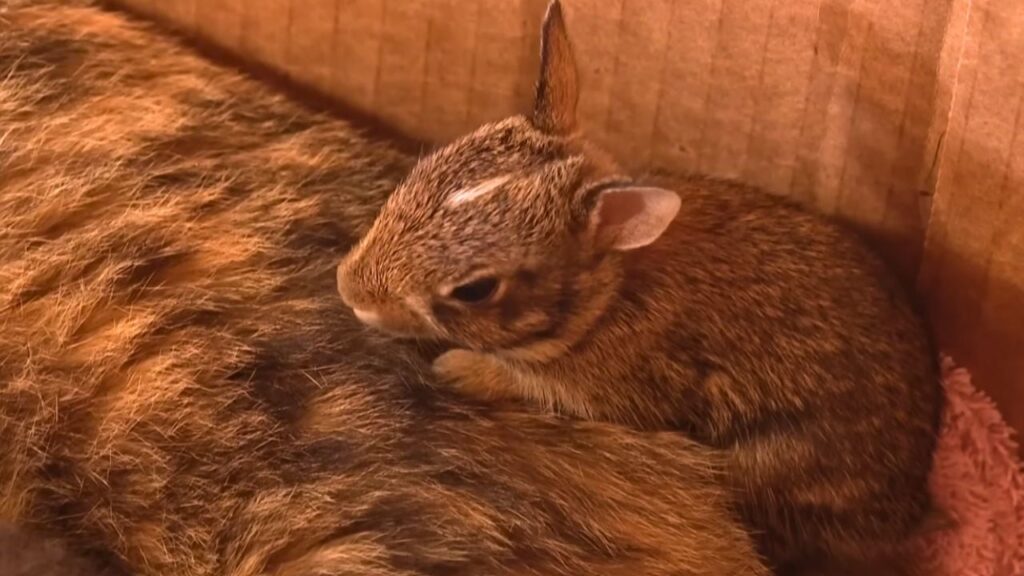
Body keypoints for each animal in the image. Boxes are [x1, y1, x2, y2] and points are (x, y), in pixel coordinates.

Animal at [336, 0, 943, 572]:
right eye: (428, 168)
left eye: (476, 290)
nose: (351, 290)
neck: (601, 298)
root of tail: (910, 509)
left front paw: (454, 368)